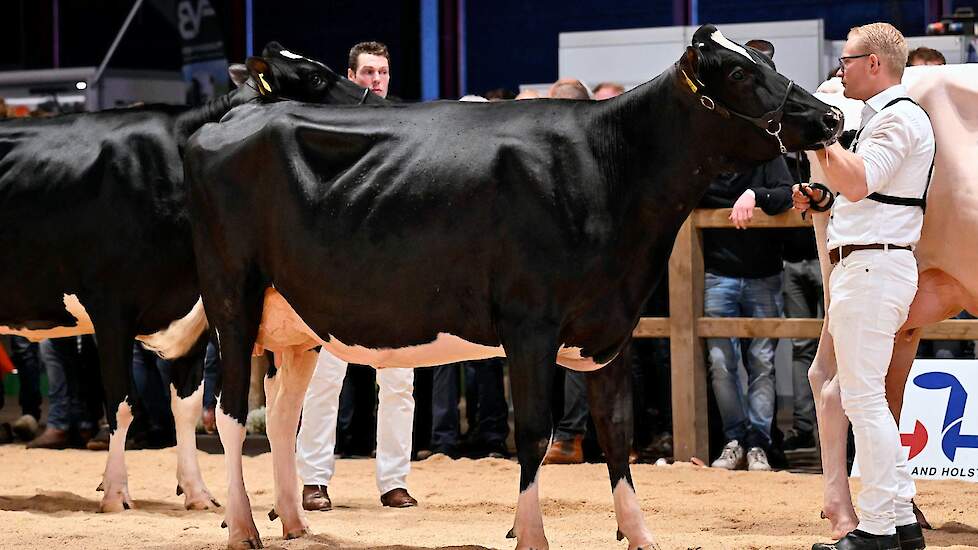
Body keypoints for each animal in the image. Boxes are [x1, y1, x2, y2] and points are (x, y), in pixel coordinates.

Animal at [0, 41, 382, 516]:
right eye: (314, 77)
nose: (381, 99)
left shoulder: (195, 313)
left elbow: (185, 404)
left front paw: (198, 492)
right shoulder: (110, 308)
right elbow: (122, 404)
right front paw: (115, 493)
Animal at [187, 27, 844, 550]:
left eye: (765, 59)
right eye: (738, 72)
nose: (831, 118)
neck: (609, 166)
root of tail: (231, 121)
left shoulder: (611, 324)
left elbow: (617, 431)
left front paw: (639, 534)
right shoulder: (530, 325)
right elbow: (532, 432)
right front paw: (530, 535)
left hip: (294, 321)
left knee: (281, 416)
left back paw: (295, 522)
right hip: (232, 299)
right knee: (229, 413)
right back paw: (243, 528)